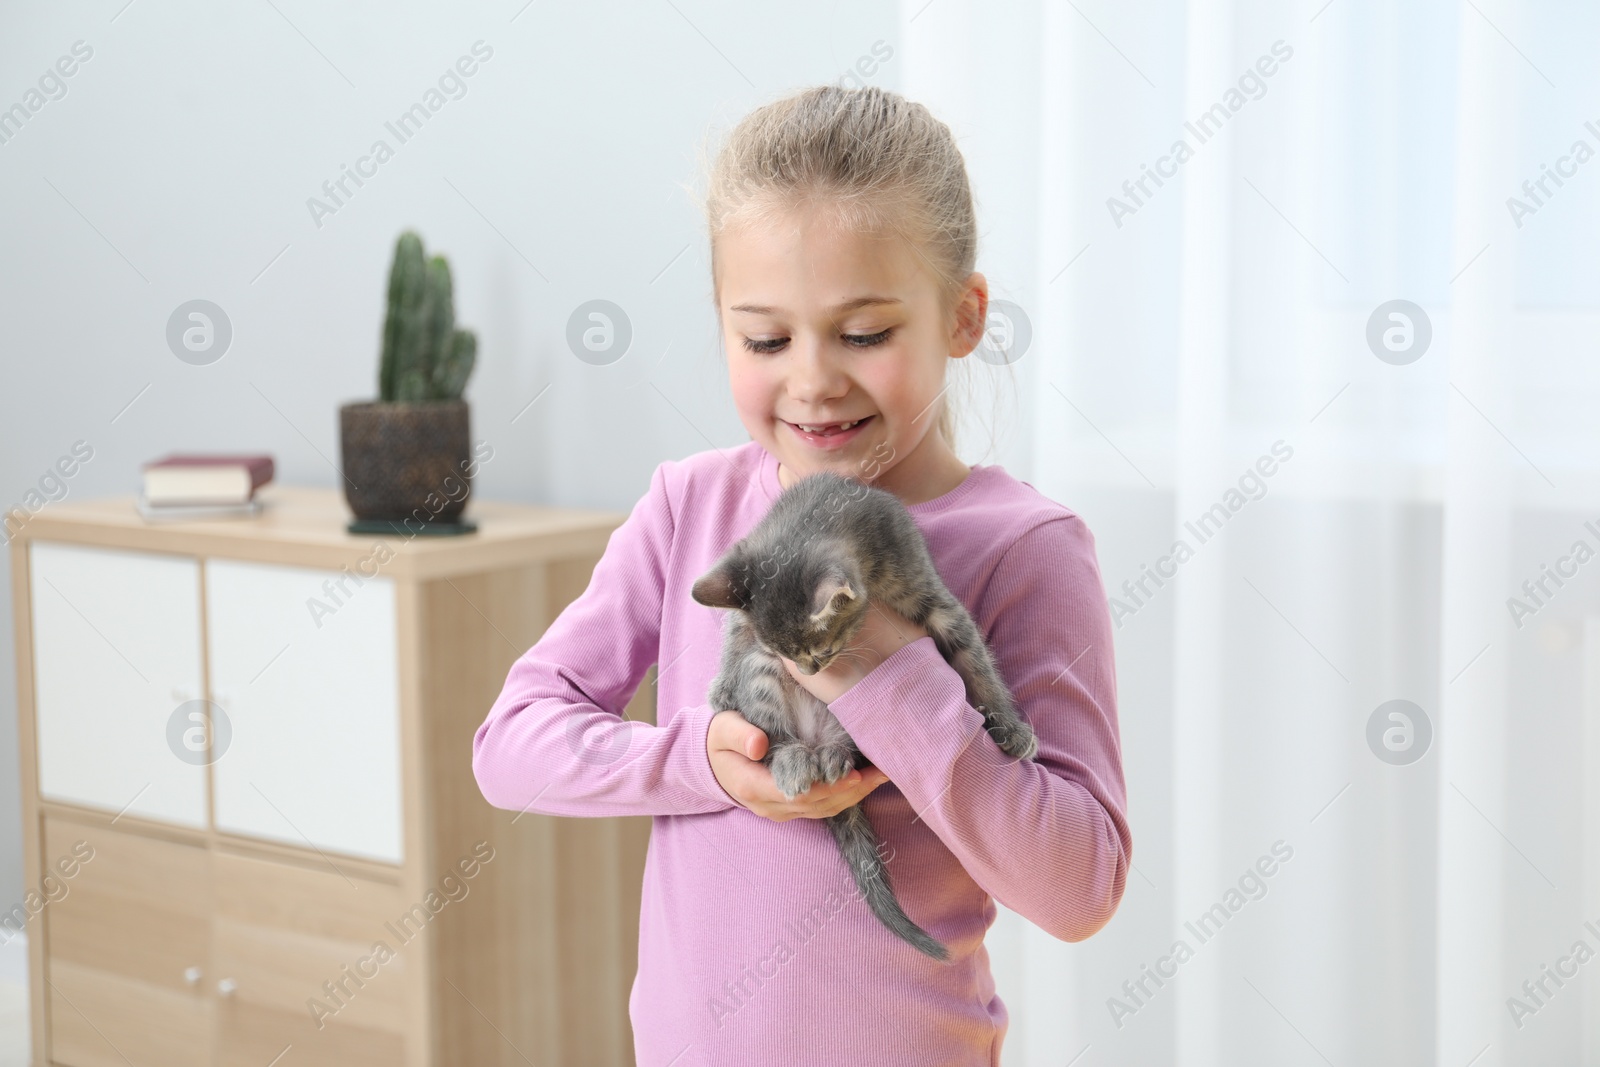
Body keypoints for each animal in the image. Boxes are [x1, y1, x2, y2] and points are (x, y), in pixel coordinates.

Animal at [688, 467, 1036, 959]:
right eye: (787, 654)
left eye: (822, 650)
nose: (809, 670)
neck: (818, 513)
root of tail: (815, 743)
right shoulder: (754, 609)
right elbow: (738, 634)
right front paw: (721, 686)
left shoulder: (926, 589)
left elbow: (974, 659)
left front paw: (1010, 727)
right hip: (764, 685)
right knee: (775, 738)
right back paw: (794, 760)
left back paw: (835, 754)